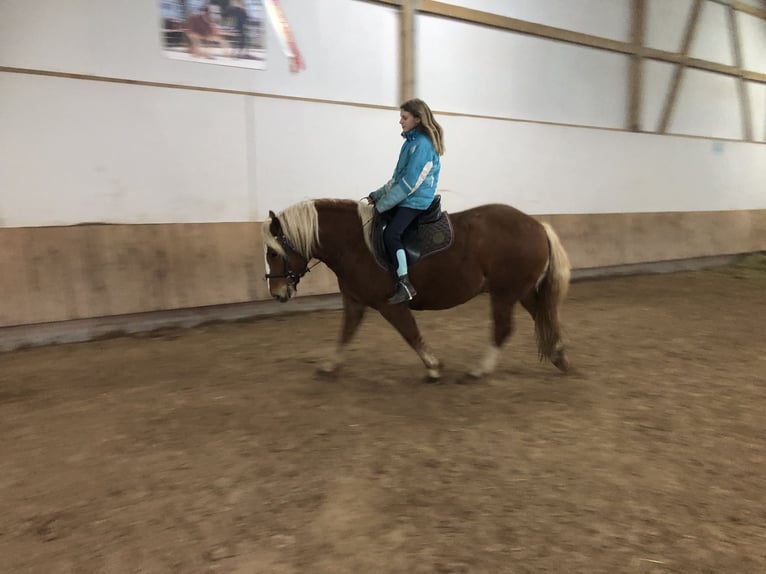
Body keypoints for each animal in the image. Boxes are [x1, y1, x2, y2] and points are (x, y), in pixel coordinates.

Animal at [262, 199, 571, 381]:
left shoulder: (390, 304)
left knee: (504, 328)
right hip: (522, 291)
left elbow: (410, 333)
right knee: (542, 316)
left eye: (274, 253)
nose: (276, 292)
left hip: (505, 293)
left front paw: (433, 366)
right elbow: (346, 332)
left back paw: (480, 369)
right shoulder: (354, 301)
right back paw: (558, 356)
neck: (355, 244)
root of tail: (537, 224)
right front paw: (329, 365)